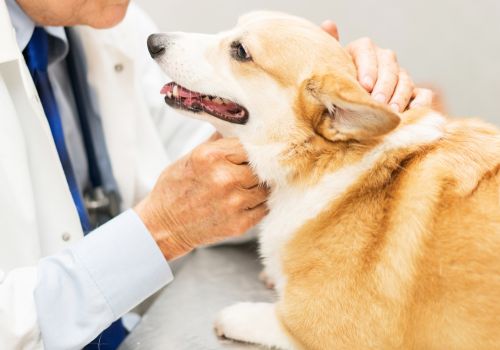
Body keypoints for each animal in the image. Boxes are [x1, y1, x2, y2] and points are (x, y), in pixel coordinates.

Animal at [146, 10, 500, 350]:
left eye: (241, 51)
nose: (152, 41)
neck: (326, 160)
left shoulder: (325, 328)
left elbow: (264, 317)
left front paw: (240, 311)